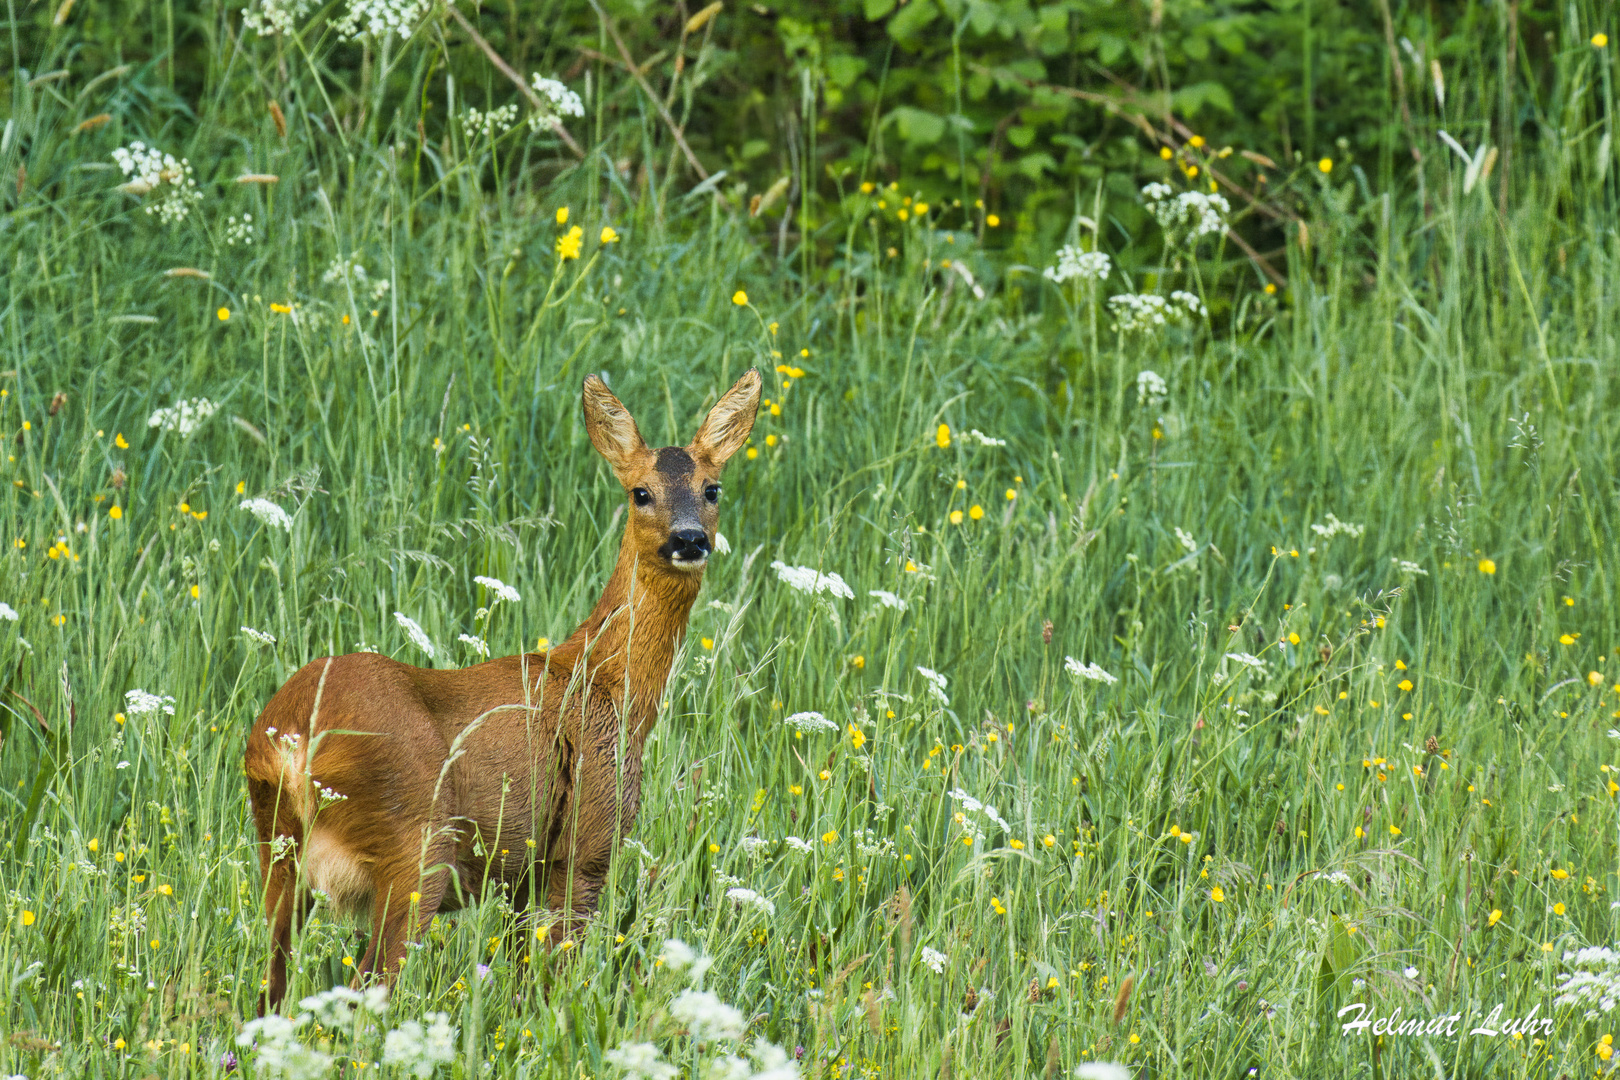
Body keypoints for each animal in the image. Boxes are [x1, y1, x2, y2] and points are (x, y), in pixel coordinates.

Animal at [243, 367, 761, 1010]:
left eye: (712, 488)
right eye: (641, 492)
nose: (690, 539)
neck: (604, 686)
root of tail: (291, 736)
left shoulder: (522, 872)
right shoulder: (584, 848)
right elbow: (550, 981)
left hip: (278, 849)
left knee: (271, 987)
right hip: (417, 844)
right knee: (369, 985)